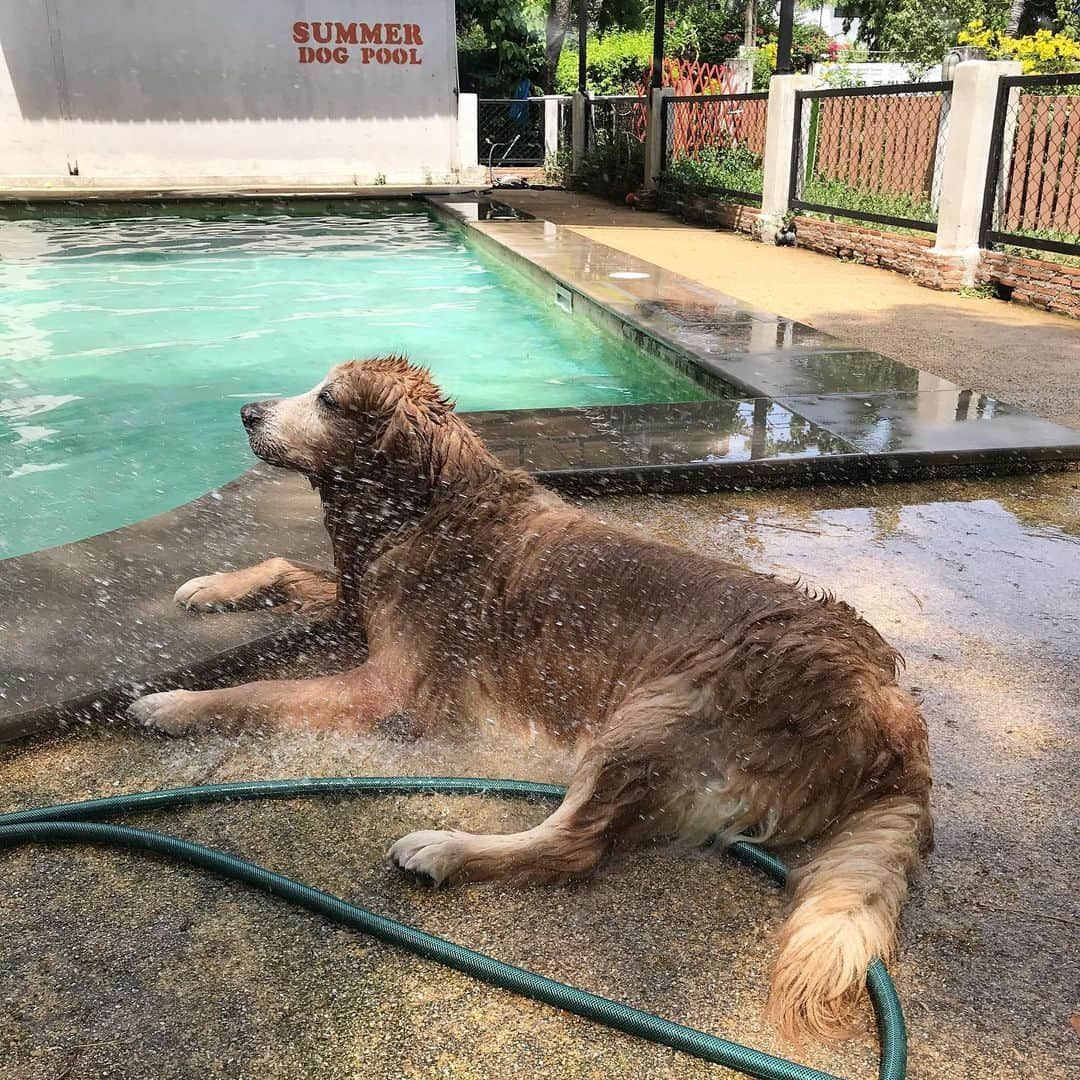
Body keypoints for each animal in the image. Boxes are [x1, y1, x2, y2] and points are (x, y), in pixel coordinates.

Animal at [130, 358, 933, 1041]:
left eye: (328, 399)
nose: (246, 411)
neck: (427, 503)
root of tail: (891, 709)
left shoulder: (388, 686)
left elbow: (259, 688)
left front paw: (173, 703)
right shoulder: (359, 601)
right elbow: (279, 565)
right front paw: (212, 587)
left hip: (655, 711)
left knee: (573, 846)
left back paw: (444, 847)